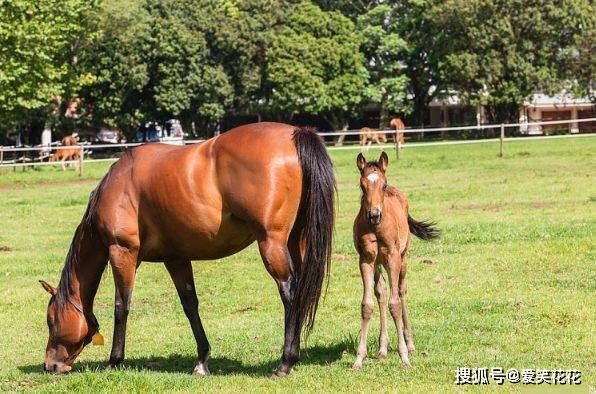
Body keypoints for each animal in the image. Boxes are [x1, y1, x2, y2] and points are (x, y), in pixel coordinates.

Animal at [38, 121, 336, 378]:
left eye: (51, 320)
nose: (50, 365)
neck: (119, 185)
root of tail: (295, 134)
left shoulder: (122, 252)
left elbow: (121, 305)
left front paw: (114, 361)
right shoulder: (176, 259)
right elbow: (190, 305)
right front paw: (202, 361)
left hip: (271, 243)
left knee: (289, 292)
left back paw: (285, 363)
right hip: (296, 240)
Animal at [350, 151, 438, 370]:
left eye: (383, 184)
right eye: (362, 185)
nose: (374, 215)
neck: (376, 228)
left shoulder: (393, 257)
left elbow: (395, 304)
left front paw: (404, 356)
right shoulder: (366, 260)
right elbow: (367, 305)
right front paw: (359, 358)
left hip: (403, 258)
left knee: (401, 290)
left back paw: (410, 343)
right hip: (378, 264)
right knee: (381, 292)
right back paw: (382, 348)